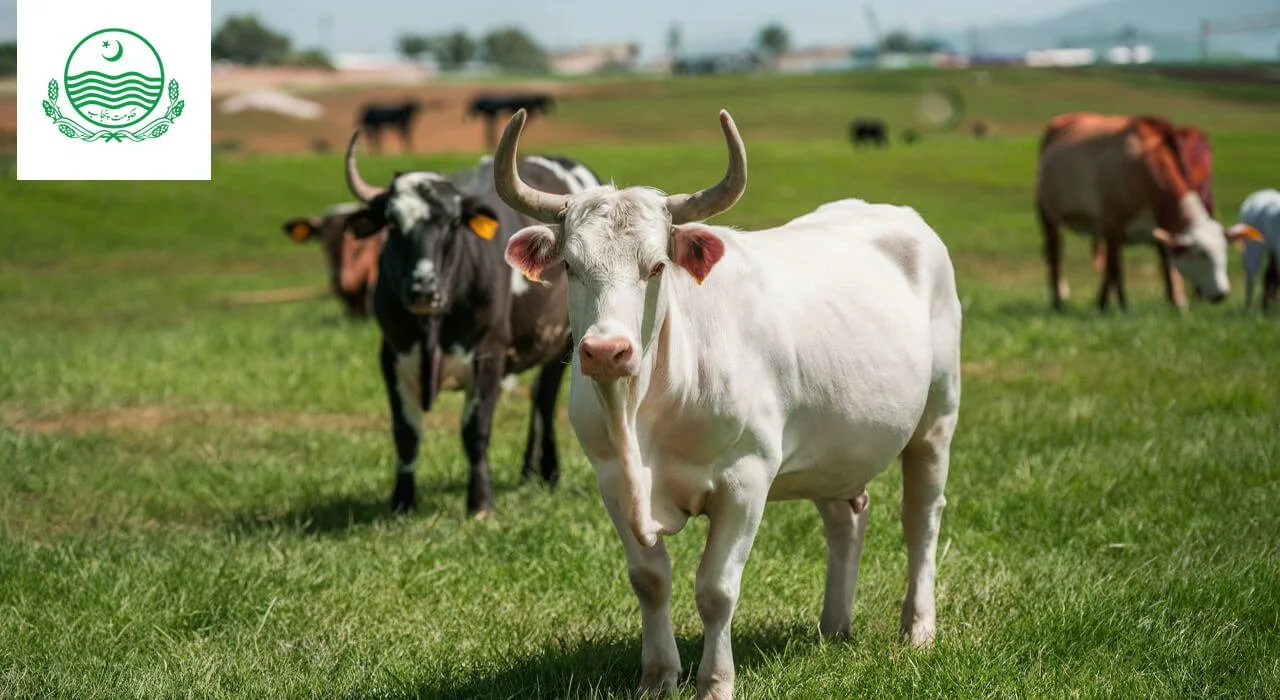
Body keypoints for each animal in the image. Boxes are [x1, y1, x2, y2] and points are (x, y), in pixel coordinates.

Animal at [337, 129, 601, 514]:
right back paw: (528, 473)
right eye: (393, 224)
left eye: (451, 223)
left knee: (544, 399)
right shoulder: (393, 355)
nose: (423, 289)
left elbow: (475, 430)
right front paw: (402, 501)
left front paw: (480, 503)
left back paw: (549, 472)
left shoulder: (488, 354)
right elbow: (406, 433)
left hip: (563, 343)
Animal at [488, 109, 962, 700]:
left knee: (921, 519)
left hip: (936, 419)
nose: (605, 350)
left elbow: (715, 589)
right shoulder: (611, 480)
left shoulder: (746, 479)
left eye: (657, 266)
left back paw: (917, 628)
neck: (644, 415)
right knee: (844, 519)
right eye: (571, 266)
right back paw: (833, 626)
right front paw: (658, 676)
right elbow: (650, 580)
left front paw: (715, 681)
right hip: (828, 449)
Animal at [1029, 113, 1249, 310]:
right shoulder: (1112, 225)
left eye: (1224, 251)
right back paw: (1059, 300)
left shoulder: (1159, 227)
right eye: (1200, 255)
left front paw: (1176, 302)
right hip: (1047, 214)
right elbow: (1114, 269)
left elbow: (1165, 263)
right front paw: (1113, 305)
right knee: (1056, 255)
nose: (1221, 294)